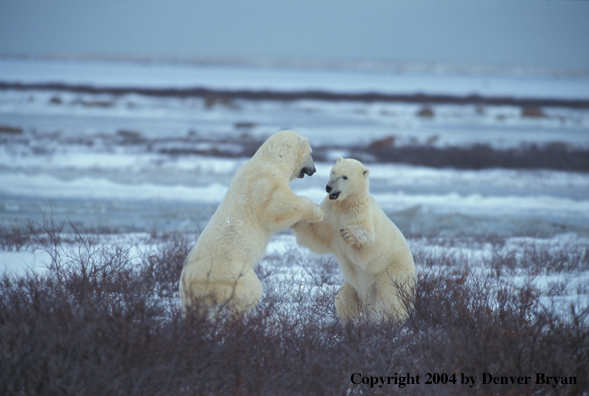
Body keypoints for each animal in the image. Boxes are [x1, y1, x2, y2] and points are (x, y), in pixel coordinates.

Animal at [180, 131, 326, 318]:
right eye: (311, 153)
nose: (314, 170)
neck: (271, 161)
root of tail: (195, 284)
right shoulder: (266, 185)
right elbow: (279, 207)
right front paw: (317, 210)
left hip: (188, 292)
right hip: (230, 276)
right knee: (249, 291)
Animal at [292, 156, 416, 324]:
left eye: (345, 177)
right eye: (333, 172)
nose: (329, 187)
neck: (346, 204)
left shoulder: (361, 215)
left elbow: (366, 252)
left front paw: (348, 233)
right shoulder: (330, 215)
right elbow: (314, 235)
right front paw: (295, 212)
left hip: (394, 274)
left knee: (390, 299)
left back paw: (386, 320)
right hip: (354, 287)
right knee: (344, 298)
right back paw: (351, 321)